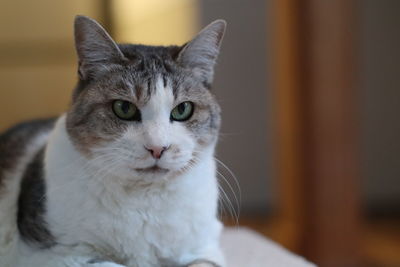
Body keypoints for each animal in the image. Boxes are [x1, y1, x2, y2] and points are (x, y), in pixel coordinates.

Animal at [0, 15, 225, 267]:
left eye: (183, 109)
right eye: (124, 108)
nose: (158, 148)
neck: (144, 199)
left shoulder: (207, 248)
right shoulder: (50, 255)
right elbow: (111, 263)